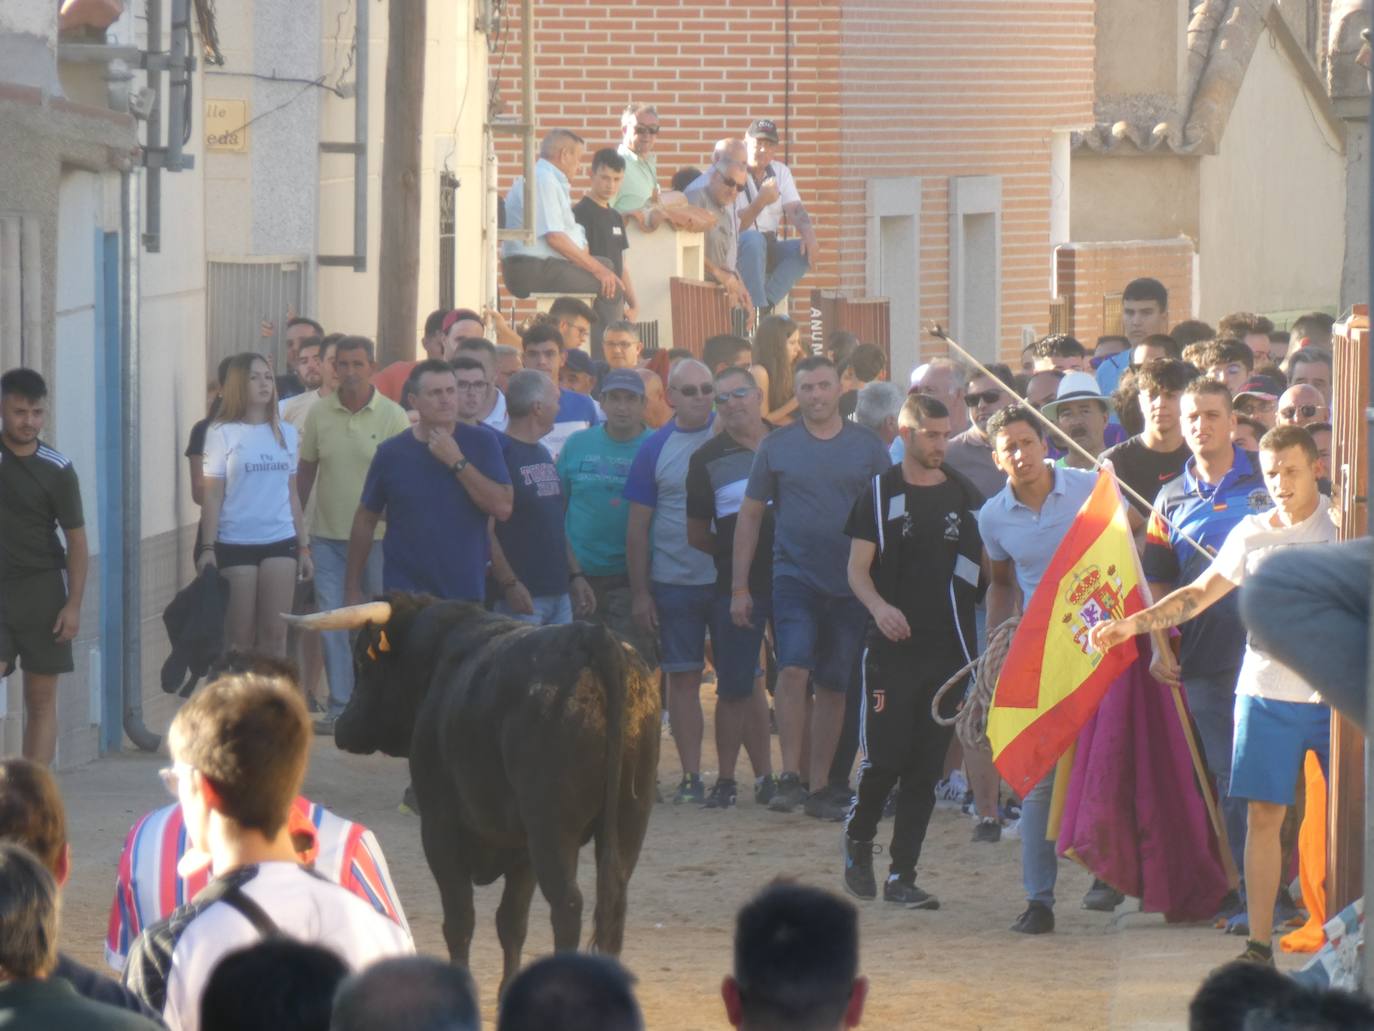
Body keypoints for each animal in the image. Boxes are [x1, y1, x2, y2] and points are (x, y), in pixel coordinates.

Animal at [329, 596, 656, 995]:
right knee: (613, 904)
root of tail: (591, 636)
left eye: (362, 662)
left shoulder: (440, 830)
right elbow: (511, 923)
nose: (342, 727)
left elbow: (459, 919)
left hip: (552, 830)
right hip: (628, 820)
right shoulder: (522, 849)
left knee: (567, 904)